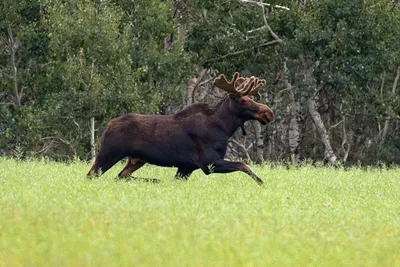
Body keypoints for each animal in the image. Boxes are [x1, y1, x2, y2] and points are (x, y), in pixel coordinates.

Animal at [86, 72, 276, 185]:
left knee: (120, 176)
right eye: (243, 100)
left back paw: (151, 180)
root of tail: (108, 125)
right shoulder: (209, 163)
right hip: (109, 153)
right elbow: (244, 165)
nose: (269, 113)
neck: (224, 128)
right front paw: (262, 183)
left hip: (136, 160)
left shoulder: (186, 168)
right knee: (91, 175)